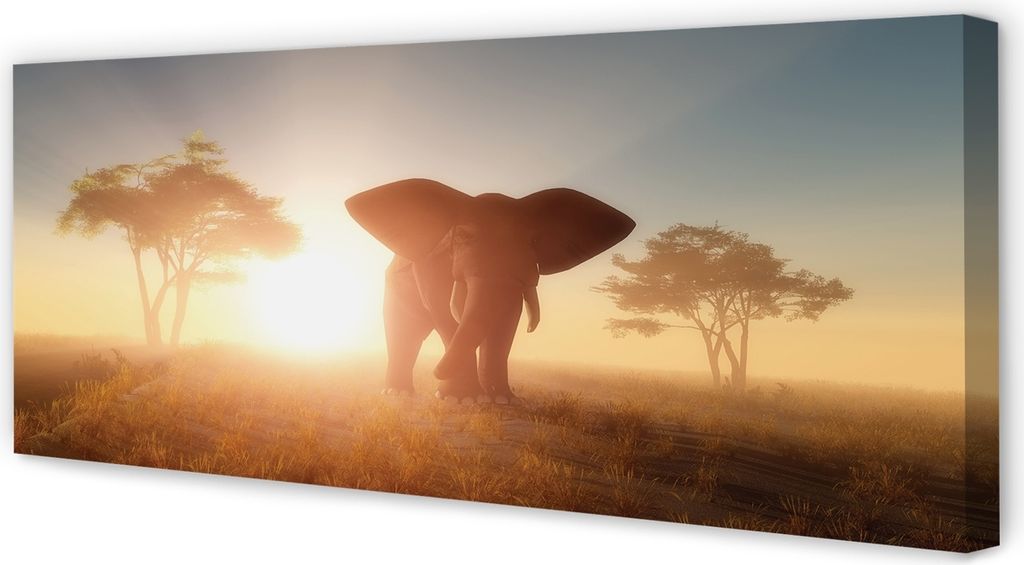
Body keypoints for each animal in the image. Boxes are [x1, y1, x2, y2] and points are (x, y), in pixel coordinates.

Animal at [345, 178, 635, 404]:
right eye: (463, 237)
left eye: (533, 241)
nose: (436, 373)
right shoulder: (431, 262)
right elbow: (443, 311)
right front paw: (459, 399)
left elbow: (507, 319)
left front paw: (501, 400)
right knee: (405, 331)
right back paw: (398, 393)